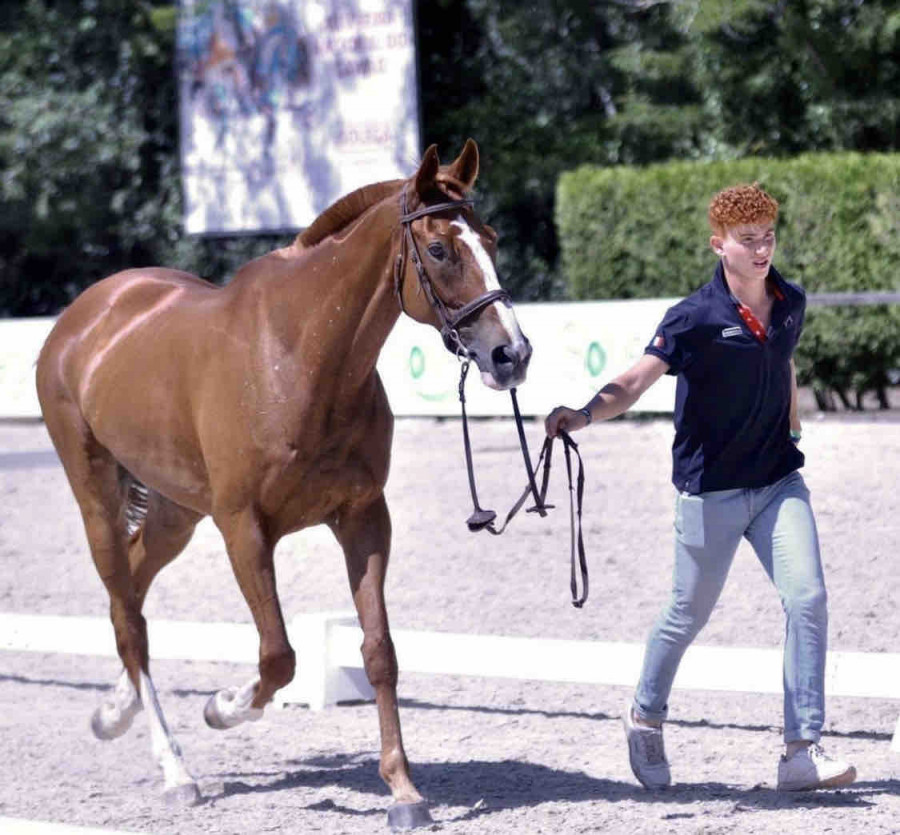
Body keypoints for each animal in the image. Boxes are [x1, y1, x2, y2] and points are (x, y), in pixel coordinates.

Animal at [35, 139, 531, 830]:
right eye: (438, 249)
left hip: (175, 513)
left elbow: (378, 652)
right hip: (98, 499)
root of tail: (85, 316)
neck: (298, 358)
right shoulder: (244, 530)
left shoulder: (363, 518)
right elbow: (279, 655)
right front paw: (222, 706)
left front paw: (403, 792)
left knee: (128, 594)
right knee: (130, 617)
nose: (512, 355)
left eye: (489, 238)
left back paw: (115, 710)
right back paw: (176, 771)